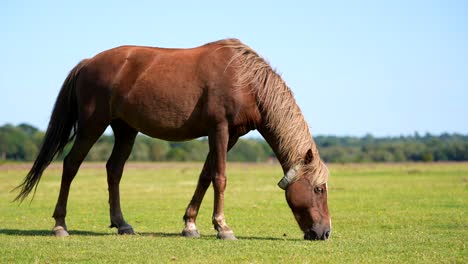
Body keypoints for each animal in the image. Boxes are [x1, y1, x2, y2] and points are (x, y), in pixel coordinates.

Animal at [13, 38, 330, 239]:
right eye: (318, 189)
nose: (325, 232)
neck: (245, 81)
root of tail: (88, 62)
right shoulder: (219, 129)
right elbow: (220, 177)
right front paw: (223, 228)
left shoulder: (231, 136)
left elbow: (205, 176)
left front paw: (190, 225)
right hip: (93, 125)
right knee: (71, 165)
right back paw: (60, 225)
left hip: (125, 130)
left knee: (114, 170)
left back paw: (122, 223)